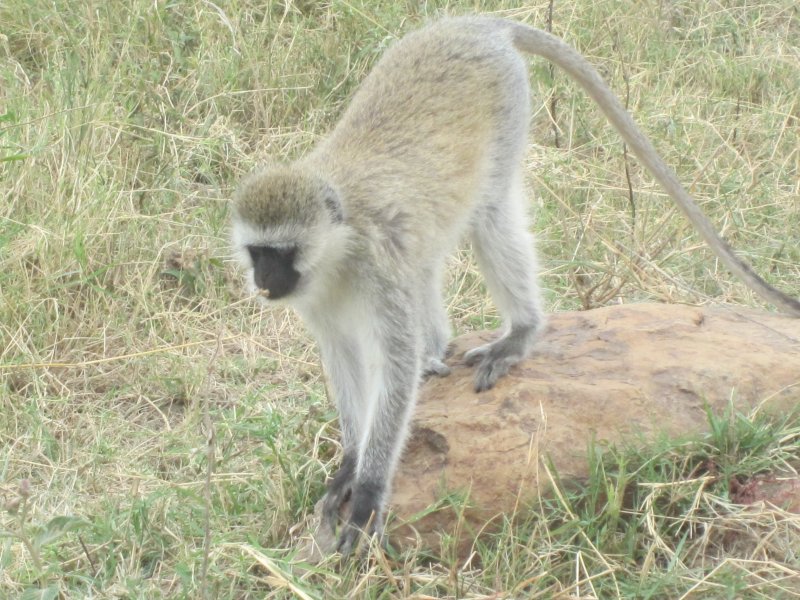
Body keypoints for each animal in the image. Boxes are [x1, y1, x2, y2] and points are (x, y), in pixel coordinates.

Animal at [230, 16, 800, 554]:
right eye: (258, 253)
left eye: (282, 253)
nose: (264, 281)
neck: (337, 249)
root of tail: (476, 23)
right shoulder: (320, 302)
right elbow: (345, 359)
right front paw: (350, 465)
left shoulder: (377, 268)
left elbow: (392, 363)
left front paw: (369, 491)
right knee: (431, 259)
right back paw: (435, 351)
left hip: (506, 110)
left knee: (490, 213)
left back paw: (520, 334)